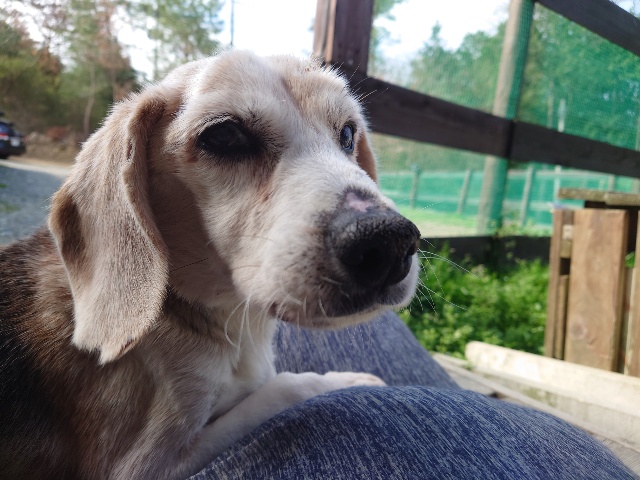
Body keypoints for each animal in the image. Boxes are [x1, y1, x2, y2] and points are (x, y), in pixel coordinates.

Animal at [0, 50, 420, 479]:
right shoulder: (144, 466)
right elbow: (282, 388)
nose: (387, 241)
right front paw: (346, 381)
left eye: (348, 134)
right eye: (224, 136)